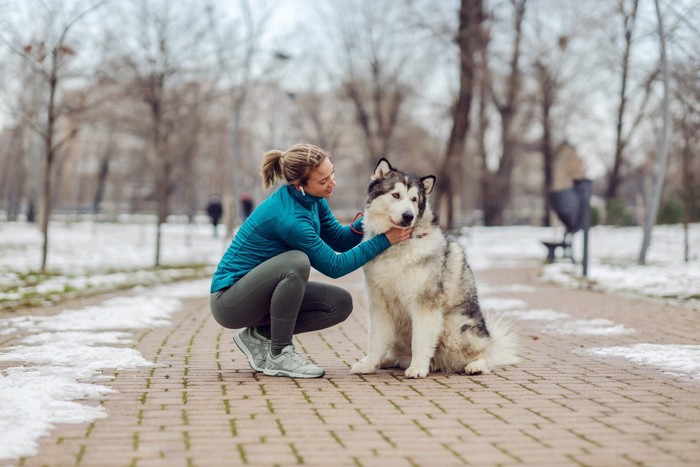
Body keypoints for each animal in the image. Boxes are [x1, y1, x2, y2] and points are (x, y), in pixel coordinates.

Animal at [350, 159, 520, 378]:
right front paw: (369, 364)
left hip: (455, 327)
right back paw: (386, 361)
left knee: (486, 354)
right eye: (396, 195)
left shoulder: (424, 305)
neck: (396, 247)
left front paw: (417, 368)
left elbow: (420, 341)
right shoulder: (380, 305)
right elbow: (375, 340)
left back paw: (475, 365)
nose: (408, 216)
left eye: (414, 199)